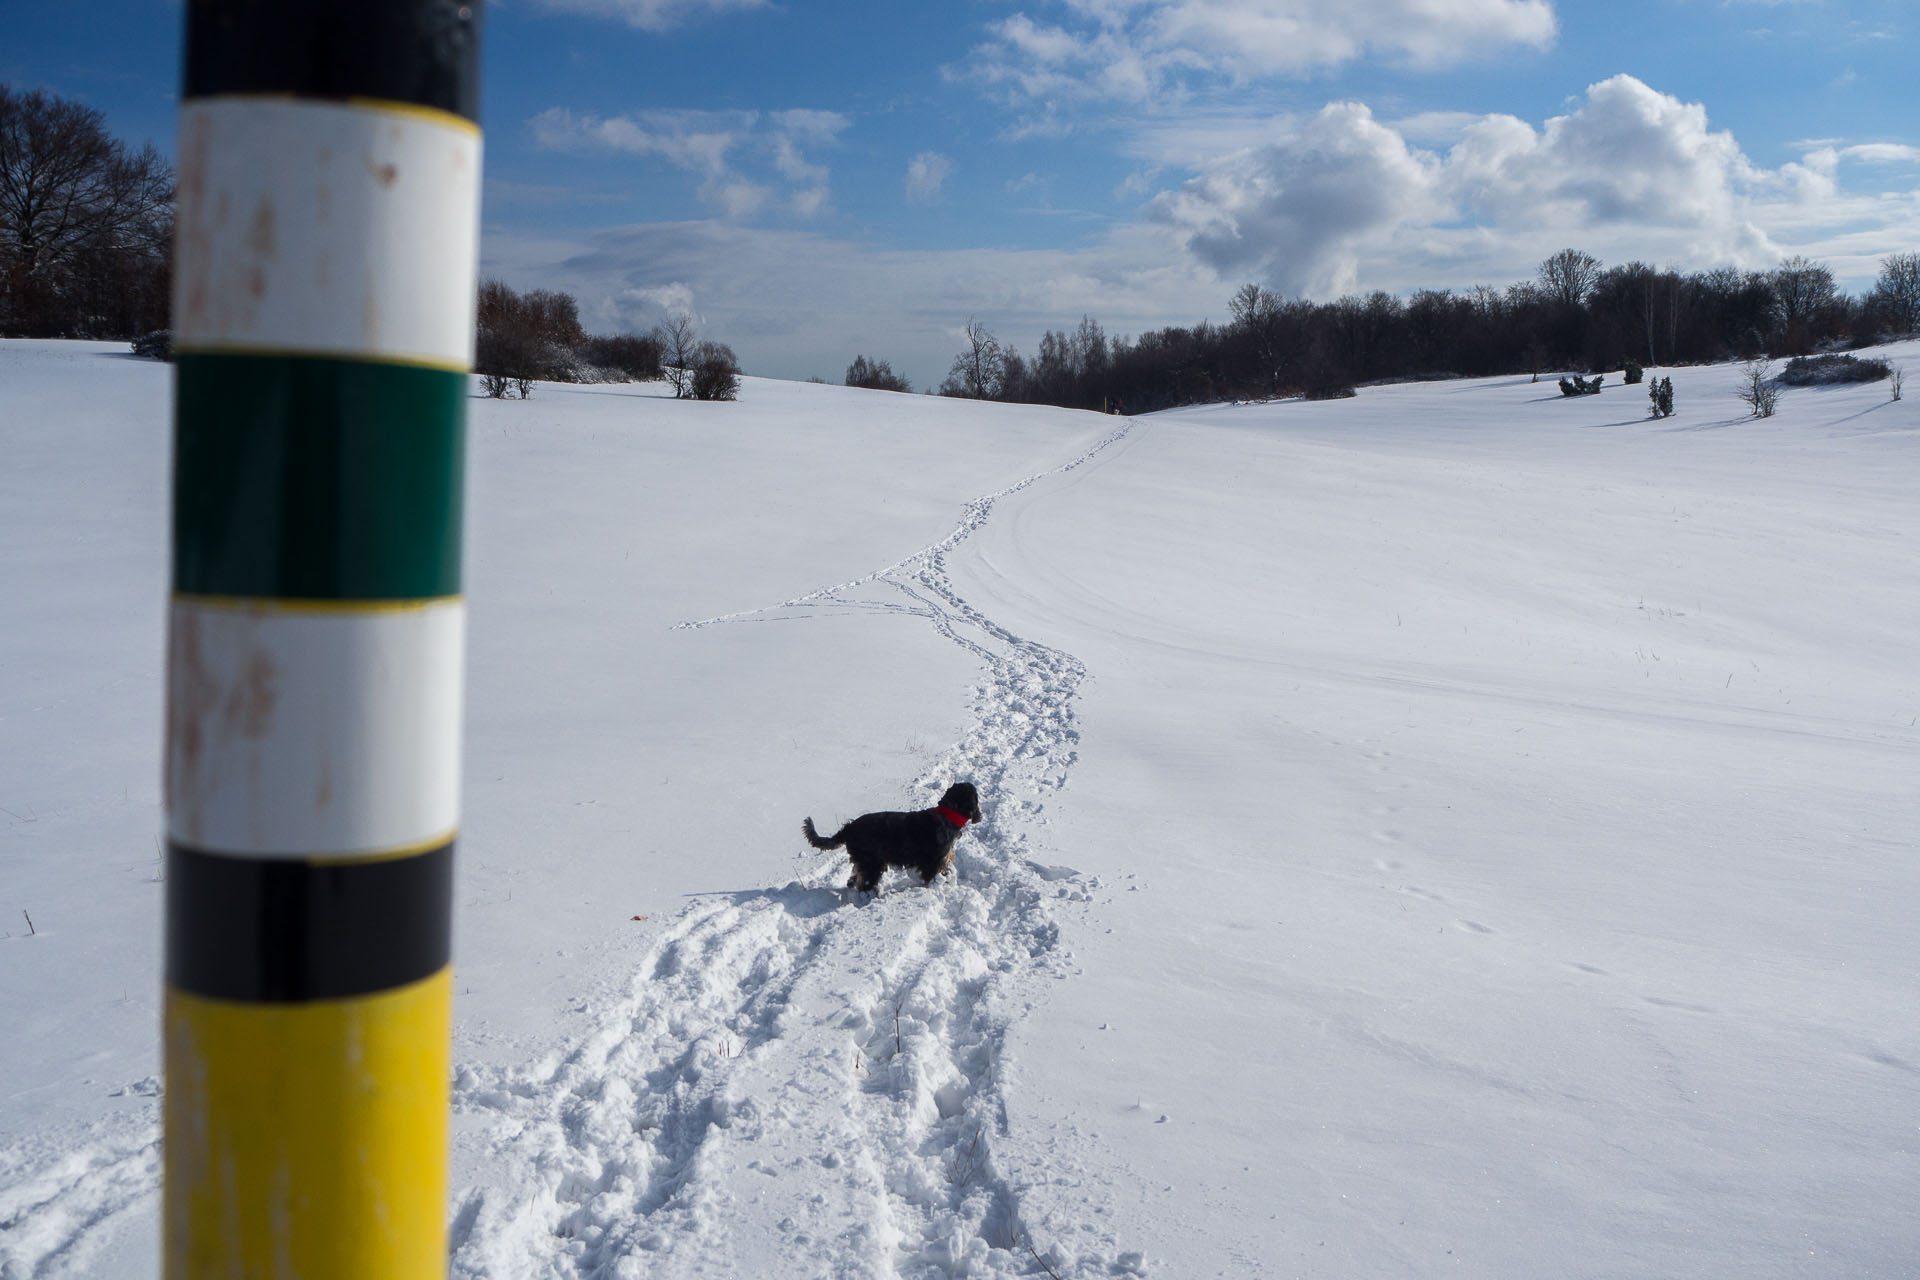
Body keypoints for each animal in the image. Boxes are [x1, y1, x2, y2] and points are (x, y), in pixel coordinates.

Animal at [798, 782, 983, 890]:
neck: (948, 814)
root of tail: (848, 828)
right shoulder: (934, 862)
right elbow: (934, 878)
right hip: (872, 863)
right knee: (864, 883)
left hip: (863, 862)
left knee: (854, 879)